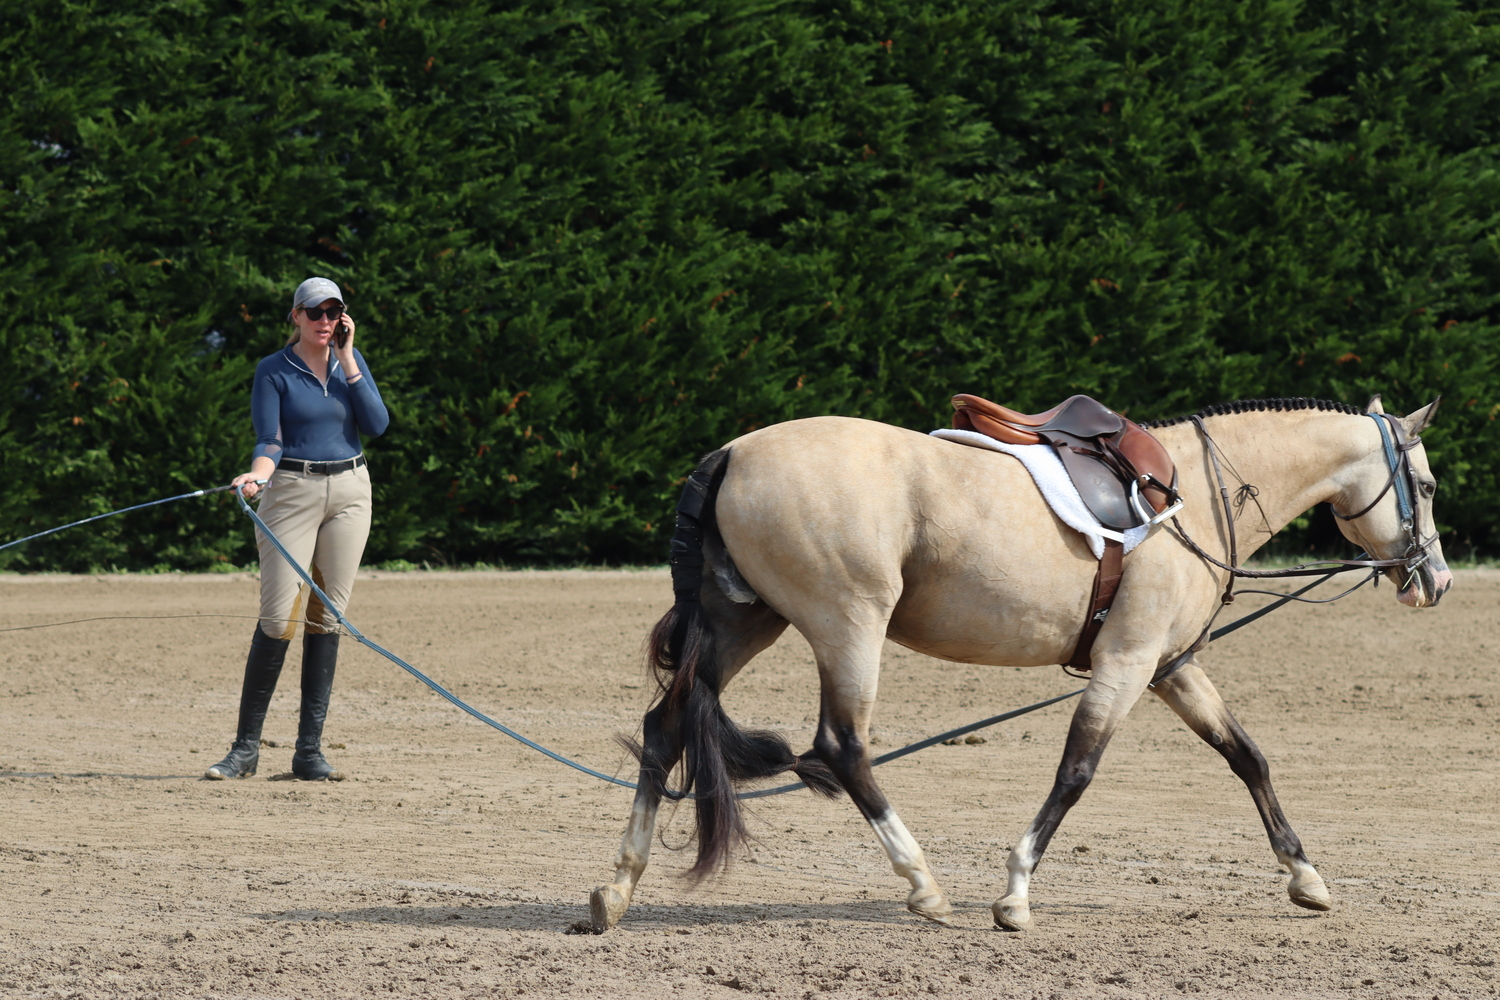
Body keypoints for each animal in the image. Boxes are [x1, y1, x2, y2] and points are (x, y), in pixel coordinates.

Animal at [588, 395, 1452, 935]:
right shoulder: (1128, 662)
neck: (1199, 498)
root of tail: (733, 452)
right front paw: (1015, 893)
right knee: (841, 747)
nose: (1436, 581)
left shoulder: (1169, 664)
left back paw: (617, 888)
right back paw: (923, 884)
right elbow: (1077, 771)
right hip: (847, 624)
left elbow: (1248, 757)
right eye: (1428, 483)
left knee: (665, 728)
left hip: (743, 623)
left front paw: (1305, 877)